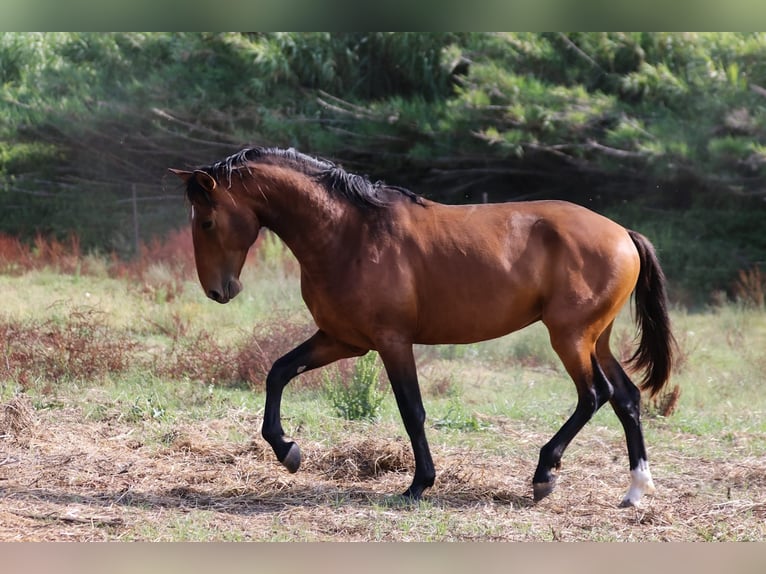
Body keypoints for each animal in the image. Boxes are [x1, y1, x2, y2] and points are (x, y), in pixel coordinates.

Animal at [171, 147, 676, 508]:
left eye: (209, 220)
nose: (218, 290)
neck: (350, 234)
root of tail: (623, 233)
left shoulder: (392, 342)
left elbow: (411, 410)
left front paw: (418, 485)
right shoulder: (342, 340)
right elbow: (278, 372)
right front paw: (287, 451)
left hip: (570, 338)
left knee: (594, 395)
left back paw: (544, 475)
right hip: (596, 338)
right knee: (627, 398)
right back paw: (635, 491)